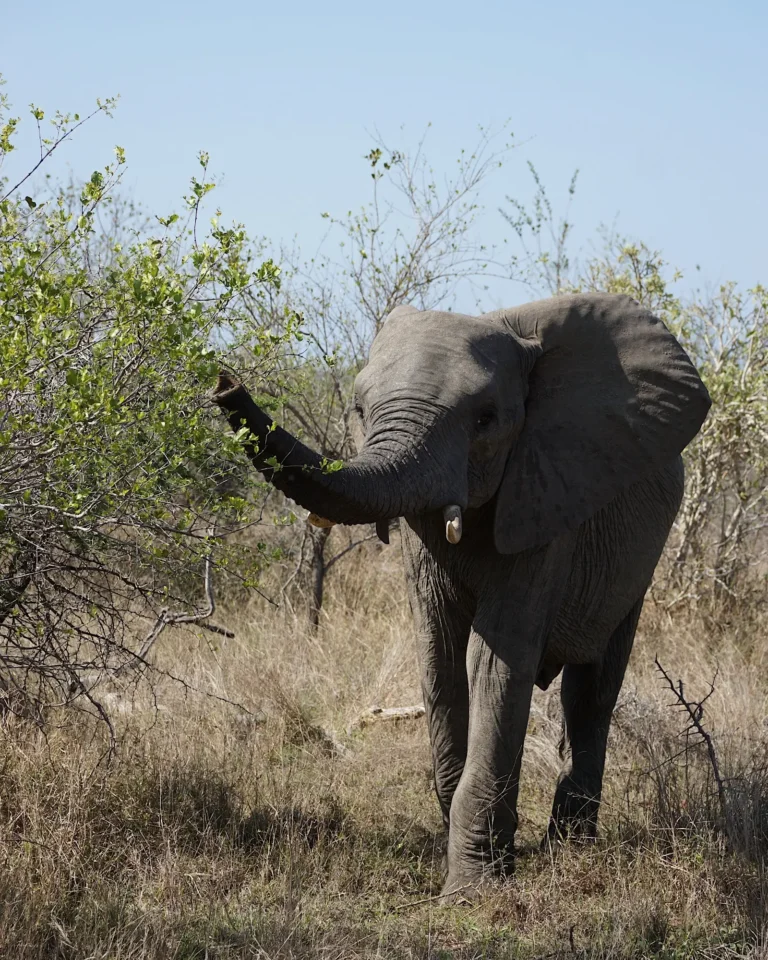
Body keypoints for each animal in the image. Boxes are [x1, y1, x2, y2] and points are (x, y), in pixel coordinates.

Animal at [213, 293, 710, 899]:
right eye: (358, 408)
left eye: (485, 419)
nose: (225, 383)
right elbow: (440, 655)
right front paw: (483, 861)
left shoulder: (544, 495)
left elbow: (493, 660)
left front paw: (473, 890)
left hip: (637, 560)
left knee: (592, 689)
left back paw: (569, 846)